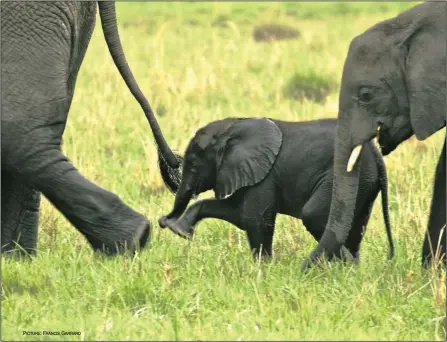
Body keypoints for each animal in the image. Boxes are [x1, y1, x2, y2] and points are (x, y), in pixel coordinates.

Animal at [159, 117, 394, 262]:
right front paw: (182, 231)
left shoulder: (265, 174)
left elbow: (255, 218)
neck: (233, 127)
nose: (163, 221)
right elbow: (237, 213)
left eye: (193, 165)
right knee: (356, 226)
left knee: (315, 216)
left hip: (344, 177)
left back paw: (344, 265)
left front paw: (263, 268)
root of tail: (375, 153)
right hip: (365, 183)